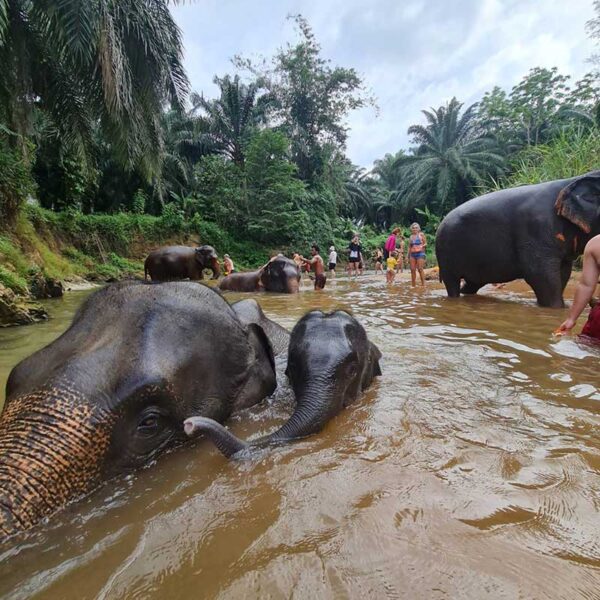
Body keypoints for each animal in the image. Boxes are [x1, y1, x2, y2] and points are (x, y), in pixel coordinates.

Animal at [434, 171, 600, 308]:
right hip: (445, 253)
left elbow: (563, 273)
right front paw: (557, 310)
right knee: (453, 283)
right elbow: (539, 274)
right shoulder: (536, 230)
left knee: (473, 283)